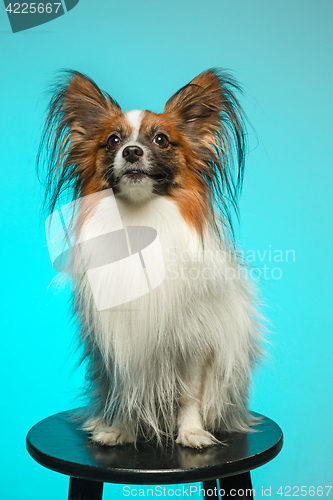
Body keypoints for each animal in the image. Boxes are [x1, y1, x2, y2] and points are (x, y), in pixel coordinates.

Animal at [39, 67, 262, 450]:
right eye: (112, 140)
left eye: (161, 140)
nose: (131, 151)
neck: (140, 217)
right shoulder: (119, 344)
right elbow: (126, 391)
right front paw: (118, 429)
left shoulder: (193, 342)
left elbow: (189, 394)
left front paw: (191, 433)